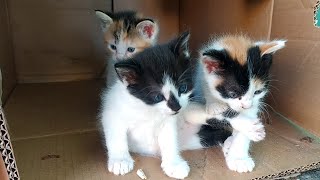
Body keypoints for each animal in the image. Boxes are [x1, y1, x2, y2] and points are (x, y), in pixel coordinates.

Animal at [184, 34, 286, 173]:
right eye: (233, 94)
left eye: (257, 92)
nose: (246, 106)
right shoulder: (200, 81)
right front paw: (215, 104)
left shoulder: (254, 106)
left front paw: (239, 158)